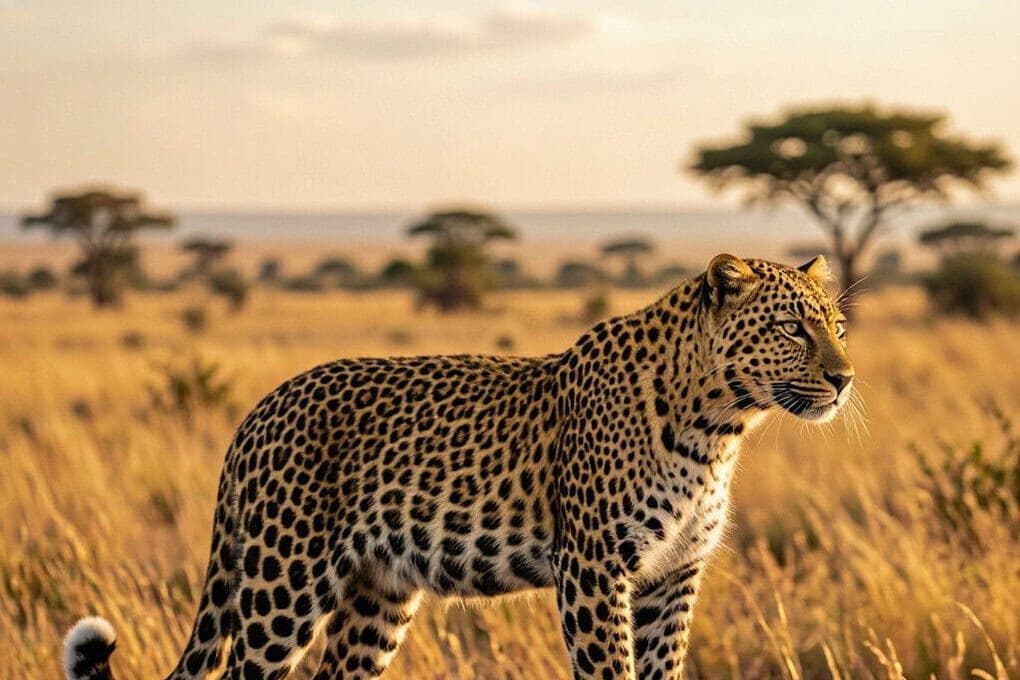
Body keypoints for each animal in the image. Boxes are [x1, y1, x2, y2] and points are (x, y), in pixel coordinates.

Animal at [63, 253, 854, 680]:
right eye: (792, 327)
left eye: (839, 325)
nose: (846, 378)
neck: (720, 426)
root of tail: (256, 412)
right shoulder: (595, 569)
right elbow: (611, 668)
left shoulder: (674, 575)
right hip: (279, 588)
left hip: (377, 595)